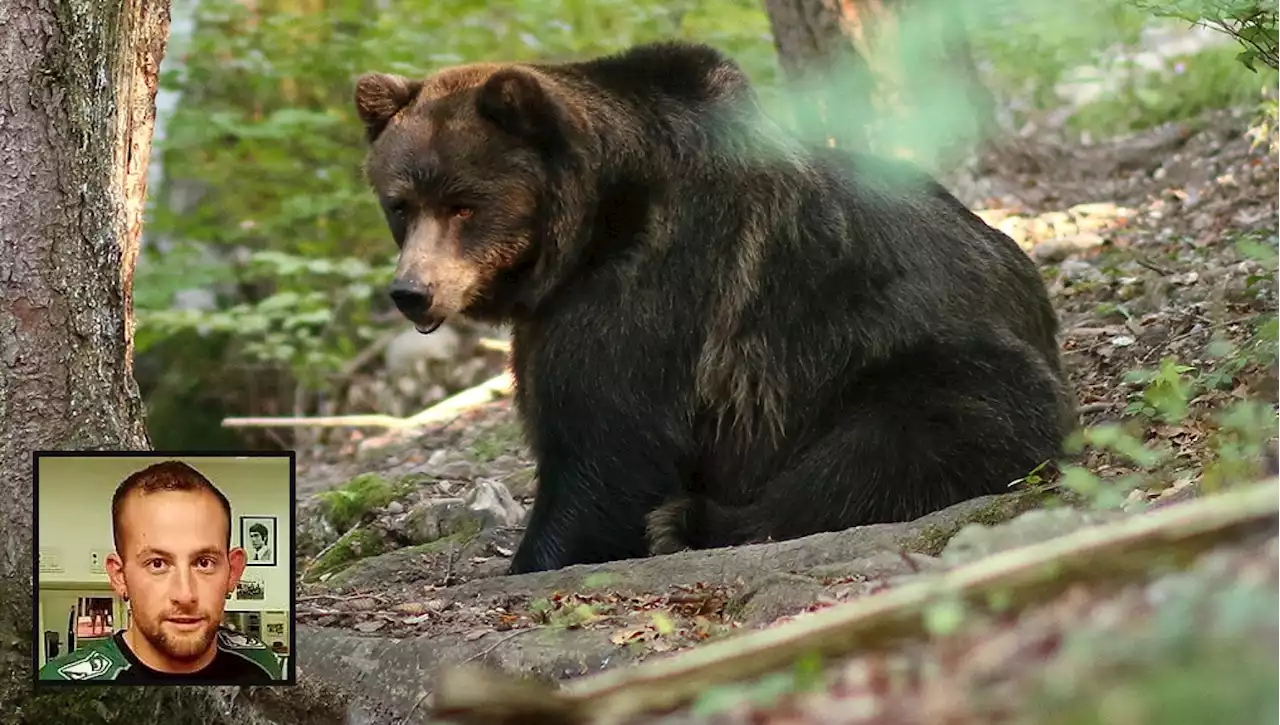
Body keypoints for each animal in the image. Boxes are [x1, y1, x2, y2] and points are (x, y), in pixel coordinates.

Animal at [353, 39, 1080, 576]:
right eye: (400, 204)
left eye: (463, 204)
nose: (412, 291)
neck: (590, 229)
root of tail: (1035, 297)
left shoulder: (648, 290)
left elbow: (605, 448)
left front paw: (540, 554)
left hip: (925, 361)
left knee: (895, 444)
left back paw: (688, 520)